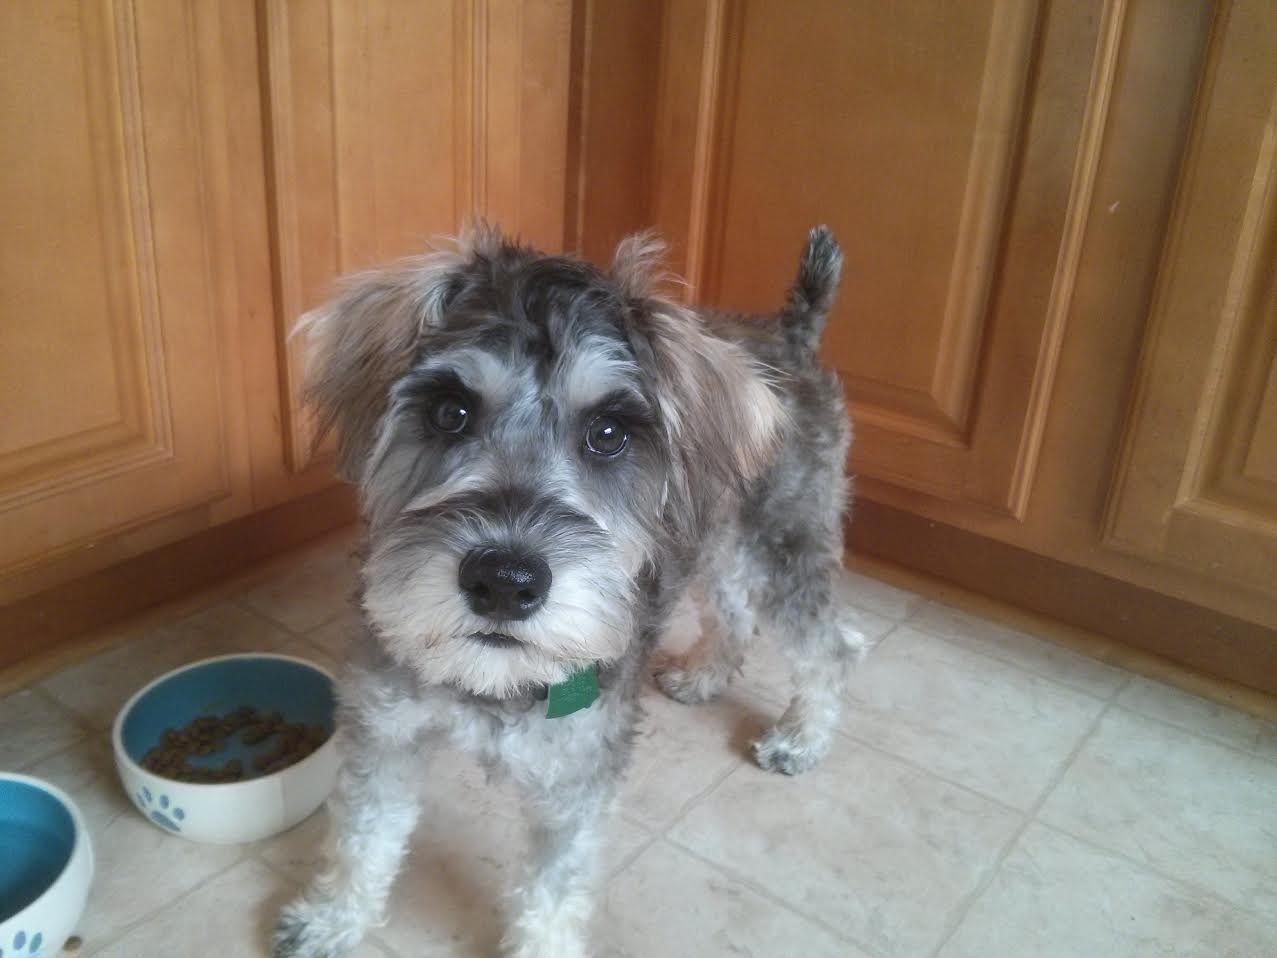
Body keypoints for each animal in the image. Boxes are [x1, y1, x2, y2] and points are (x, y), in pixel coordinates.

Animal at [273, 227, 863, 958]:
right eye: (449, 411)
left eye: (607, 434)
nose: (503, 582)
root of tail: (791, 334)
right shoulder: (385, 735)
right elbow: (362, 837)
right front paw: (330, 920)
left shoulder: (576, 782)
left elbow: (552, 889)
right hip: (721, 542)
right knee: (733, 613)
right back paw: (702, 677)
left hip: (784, 543)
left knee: (832, 645)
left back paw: (799, 740)